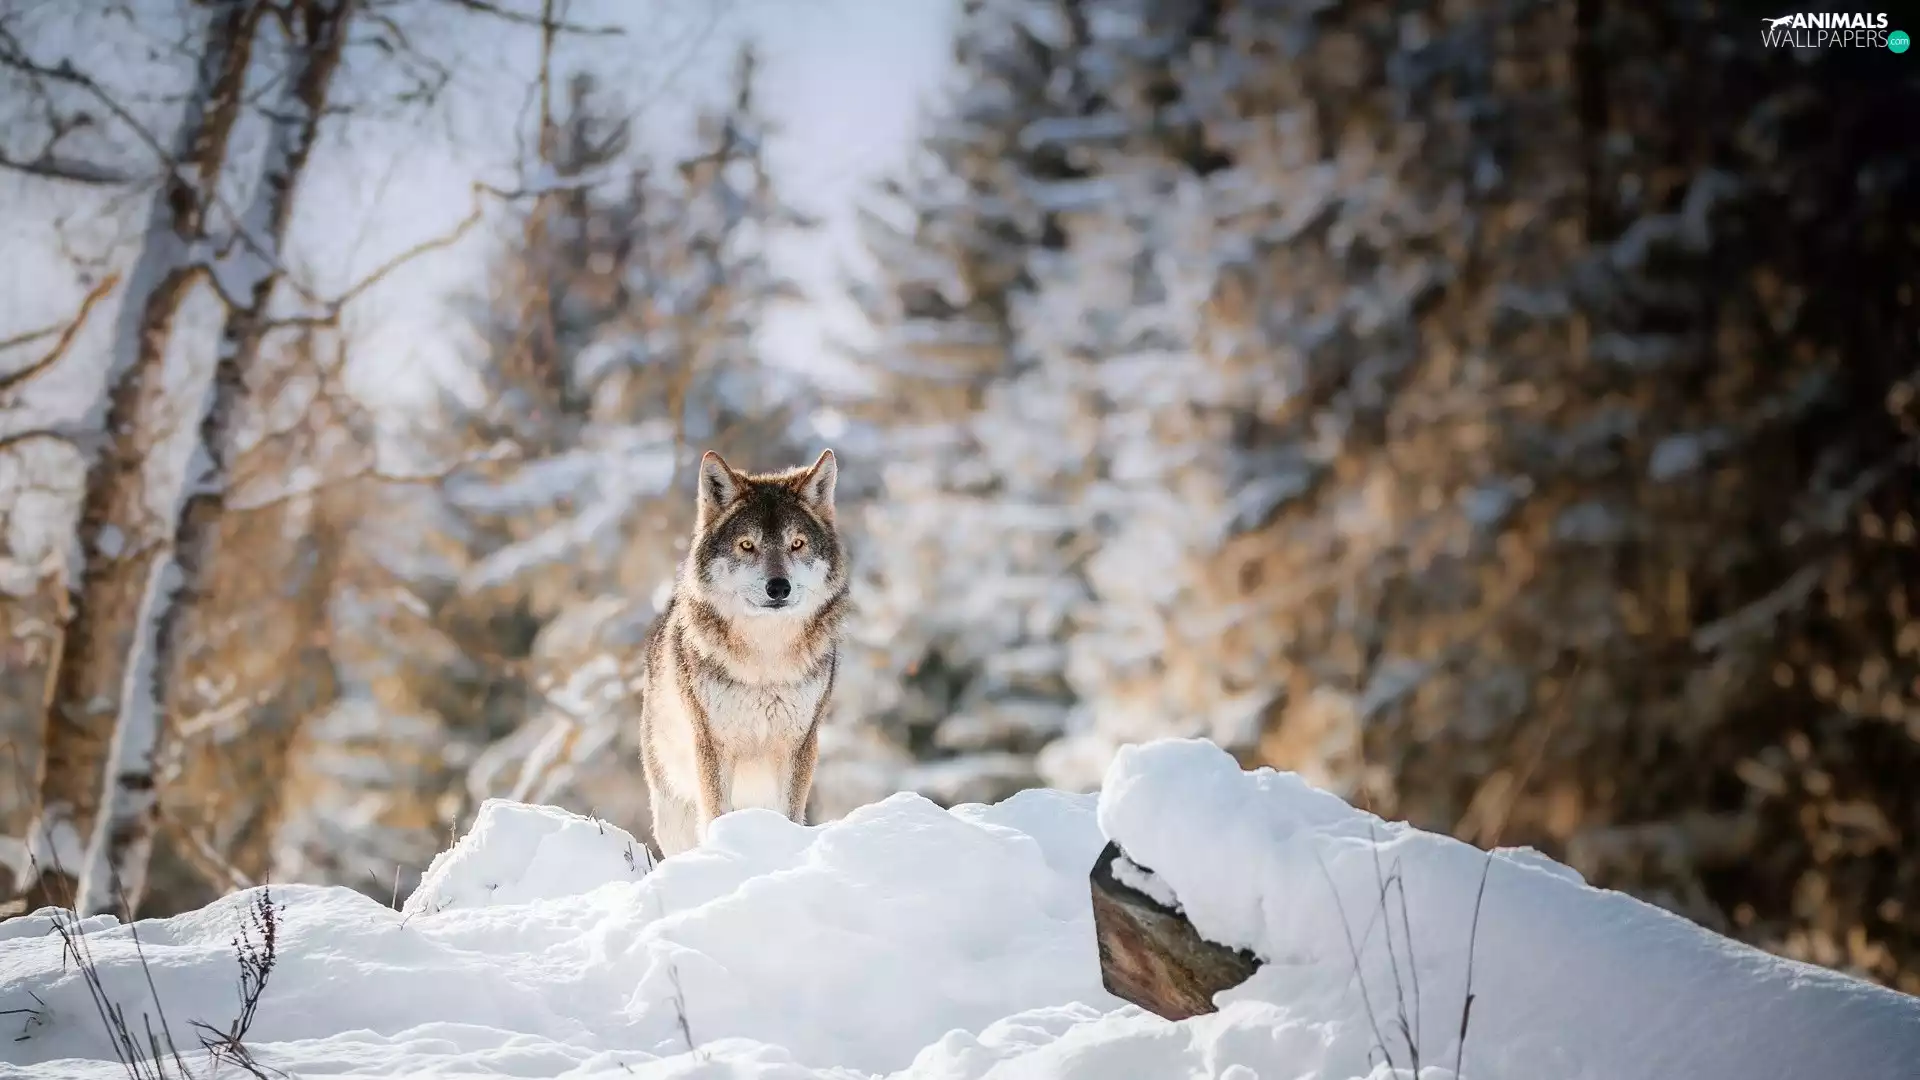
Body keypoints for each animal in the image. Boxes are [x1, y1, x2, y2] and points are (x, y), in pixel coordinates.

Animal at [639, 448, 847, 857]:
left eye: (796, 544)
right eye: (747, 545)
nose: (778, 587)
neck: (765, 661)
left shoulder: (798, 746)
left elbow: (789, 815)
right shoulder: (712, 746)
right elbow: (716, 815)